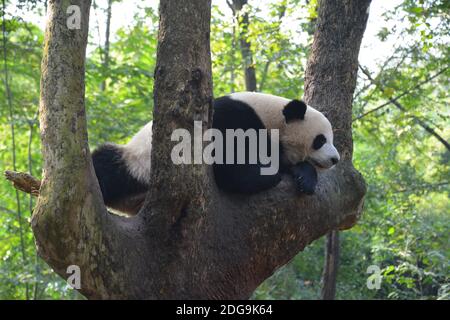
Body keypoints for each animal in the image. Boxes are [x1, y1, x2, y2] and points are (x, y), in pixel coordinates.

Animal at [92, 91, 338, 214]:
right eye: (320, 140)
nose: (335, 159)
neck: (272, 118)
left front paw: (304, 177)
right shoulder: (232, 119)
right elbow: (230, 166)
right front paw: (267, 175)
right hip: (135, 161)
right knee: (106, 165)